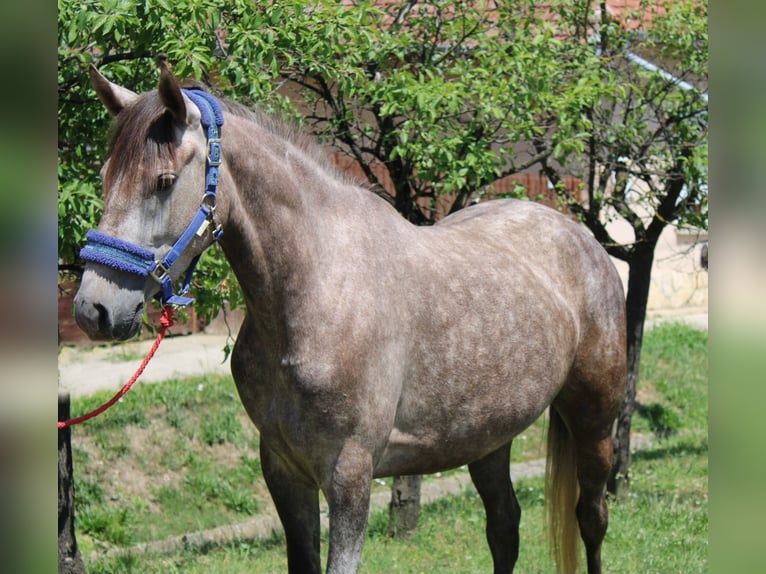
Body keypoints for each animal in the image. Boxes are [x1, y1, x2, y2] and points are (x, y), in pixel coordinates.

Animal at [73, 61, 626, 574]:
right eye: (104, 178)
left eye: (163, 181)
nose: (92, 309)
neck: (318, 289)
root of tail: (579, 238)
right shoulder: (284, 471)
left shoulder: (349, 476)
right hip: (489, 434)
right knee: (504, 527)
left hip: (594, 420)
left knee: (592, 518)